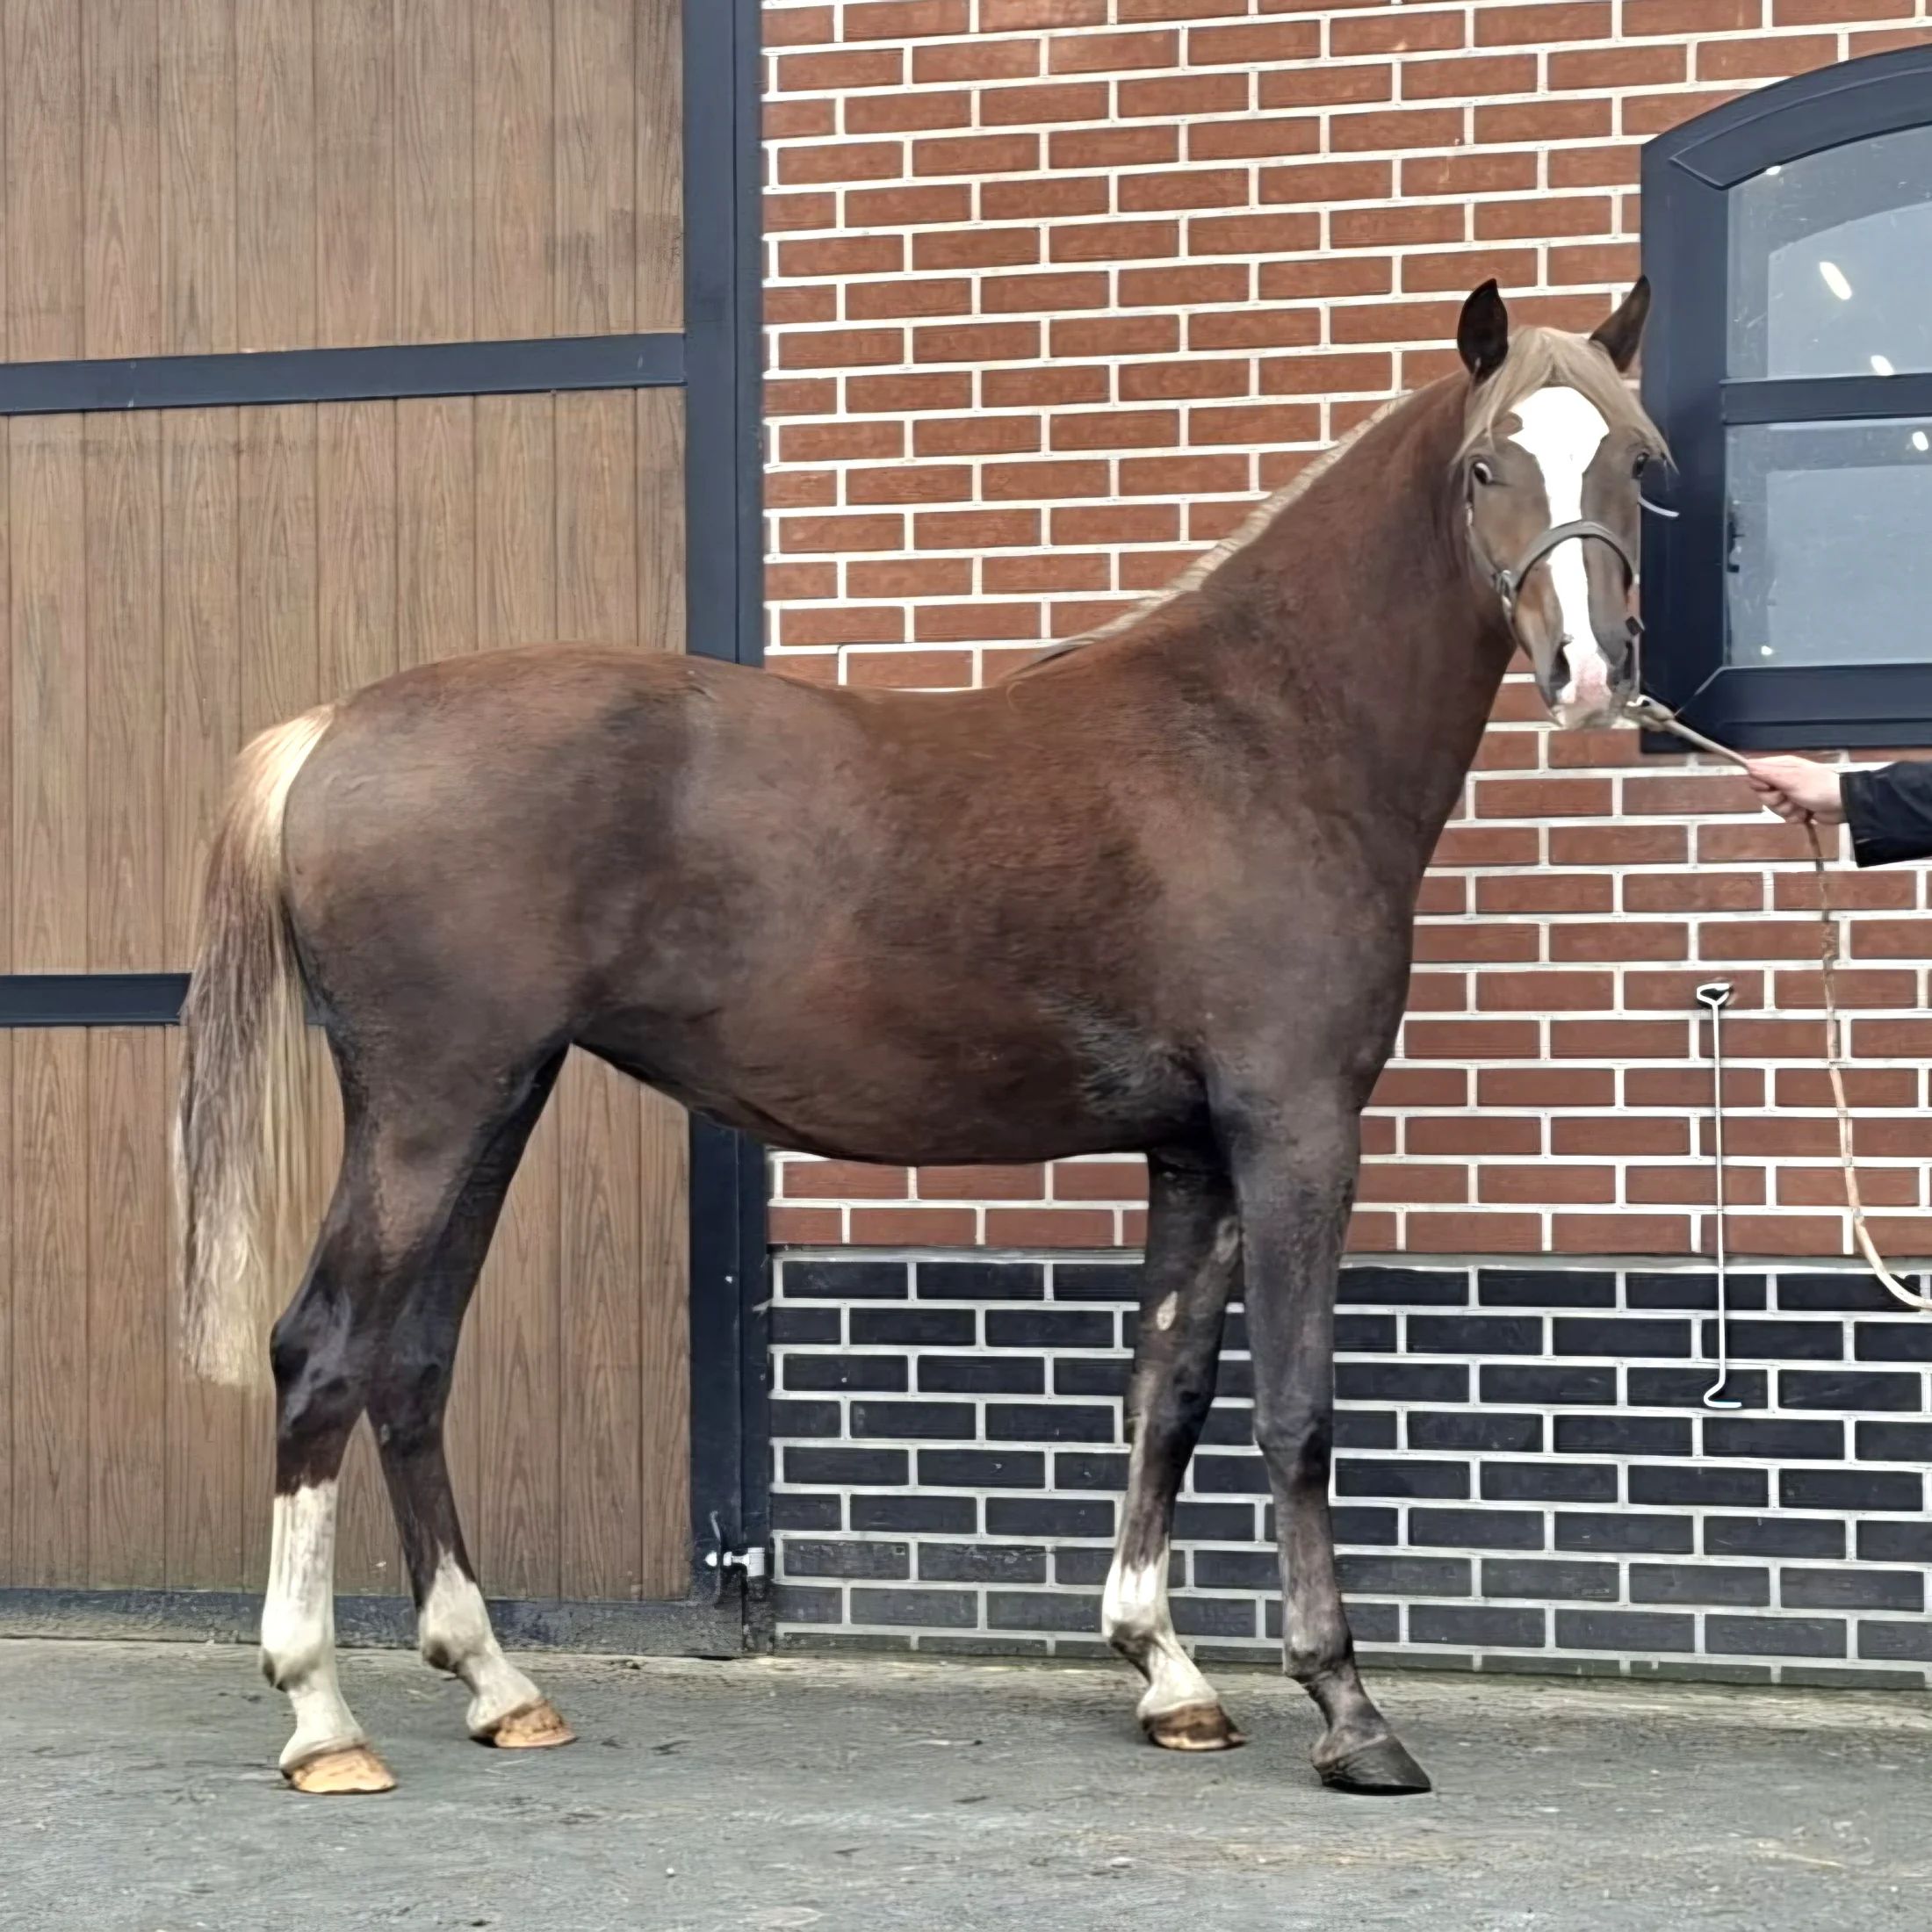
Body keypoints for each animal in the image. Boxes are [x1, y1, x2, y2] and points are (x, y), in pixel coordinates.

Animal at [177, 276, 1660, 1797]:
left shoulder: (1194, 1152)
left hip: (494, 1099)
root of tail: (332, 727)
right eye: (1486, 466)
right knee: (324, 1348)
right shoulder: (1295, 1128)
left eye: (1634, 462)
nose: (1591, 673)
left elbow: (1170, 1392)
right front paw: (1352, 1715)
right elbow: (1296, 1412)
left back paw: (494, 1681)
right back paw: (321, 1715)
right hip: (431, 1105)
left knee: (413, 1358)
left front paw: (1169, 1673)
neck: (1259, 735)